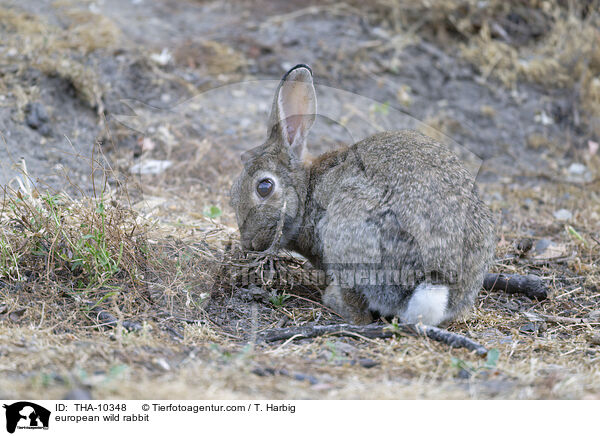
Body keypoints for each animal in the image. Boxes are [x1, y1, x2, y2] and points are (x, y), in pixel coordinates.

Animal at [230, 63, 496, 326]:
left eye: (264, 187)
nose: (249, 244)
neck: (307, 190)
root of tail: (436, 282)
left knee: (360, 312)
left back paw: (332, 298)